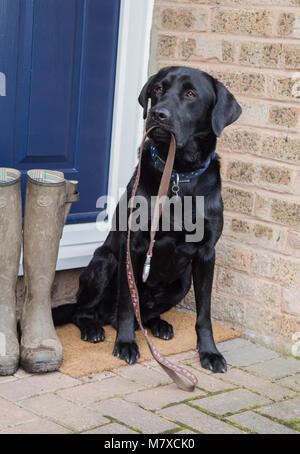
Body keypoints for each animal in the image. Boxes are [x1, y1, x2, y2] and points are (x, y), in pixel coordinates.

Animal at [53, 65, 241, 374]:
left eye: (191, 94)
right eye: (158, 90)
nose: (158, 114)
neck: (178, 173)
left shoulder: (206, 254)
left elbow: (204, 313)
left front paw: (210, 352)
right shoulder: (134, 245)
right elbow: (127, 304)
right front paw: (126, 343)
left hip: (182, 281)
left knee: (147, 311)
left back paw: (159, 325)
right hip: (105, 261)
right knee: (85, 310)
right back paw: (93, 328)